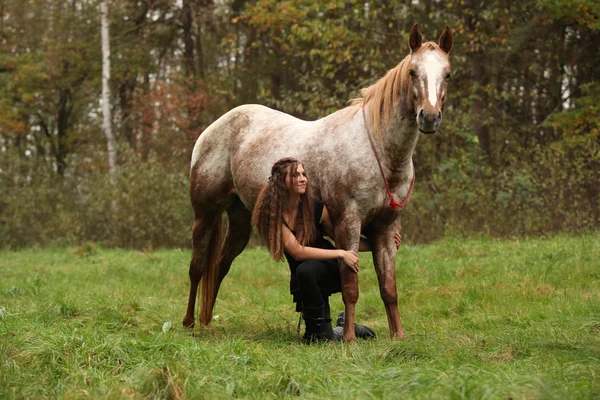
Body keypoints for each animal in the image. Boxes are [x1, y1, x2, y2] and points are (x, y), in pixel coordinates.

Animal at [184, 23, 454, 340]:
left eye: (447, 74)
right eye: (412, 71)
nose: (430, 117)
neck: (379, 151)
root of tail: (215, 128)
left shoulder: (385, 229)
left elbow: (389, 288)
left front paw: (398, 336)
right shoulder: (348, 223)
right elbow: (350, 287)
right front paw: (349, 339)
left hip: (239, 219)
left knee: (220, 266)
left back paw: (207, 323)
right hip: (205, 214)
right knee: (197, 267)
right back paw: (189, 323)